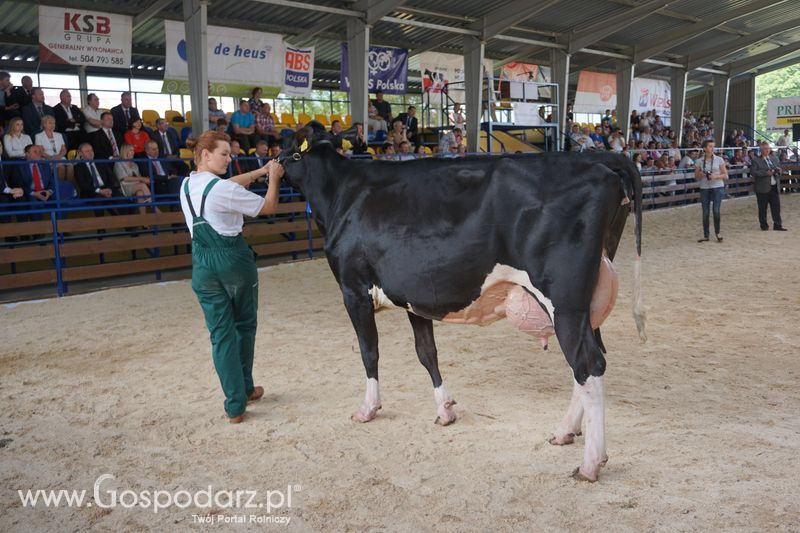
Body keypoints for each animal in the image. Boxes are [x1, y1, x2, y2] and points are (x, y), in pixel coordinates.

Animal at [278, 122, 648, 480]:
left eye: (288, 148)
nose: (274, 166)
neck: (342, 194)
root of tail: (598, 161)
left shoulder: (353, 289)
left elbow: (369, 352)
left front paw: (368, 408)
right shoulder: (414, 295)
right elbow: (427, 352)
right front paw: (445, 410)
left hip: (564, 301)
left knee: (588, 364)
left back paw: (590, 463)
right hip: (587, 304)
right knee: (587, 363)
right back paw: (565, 431)